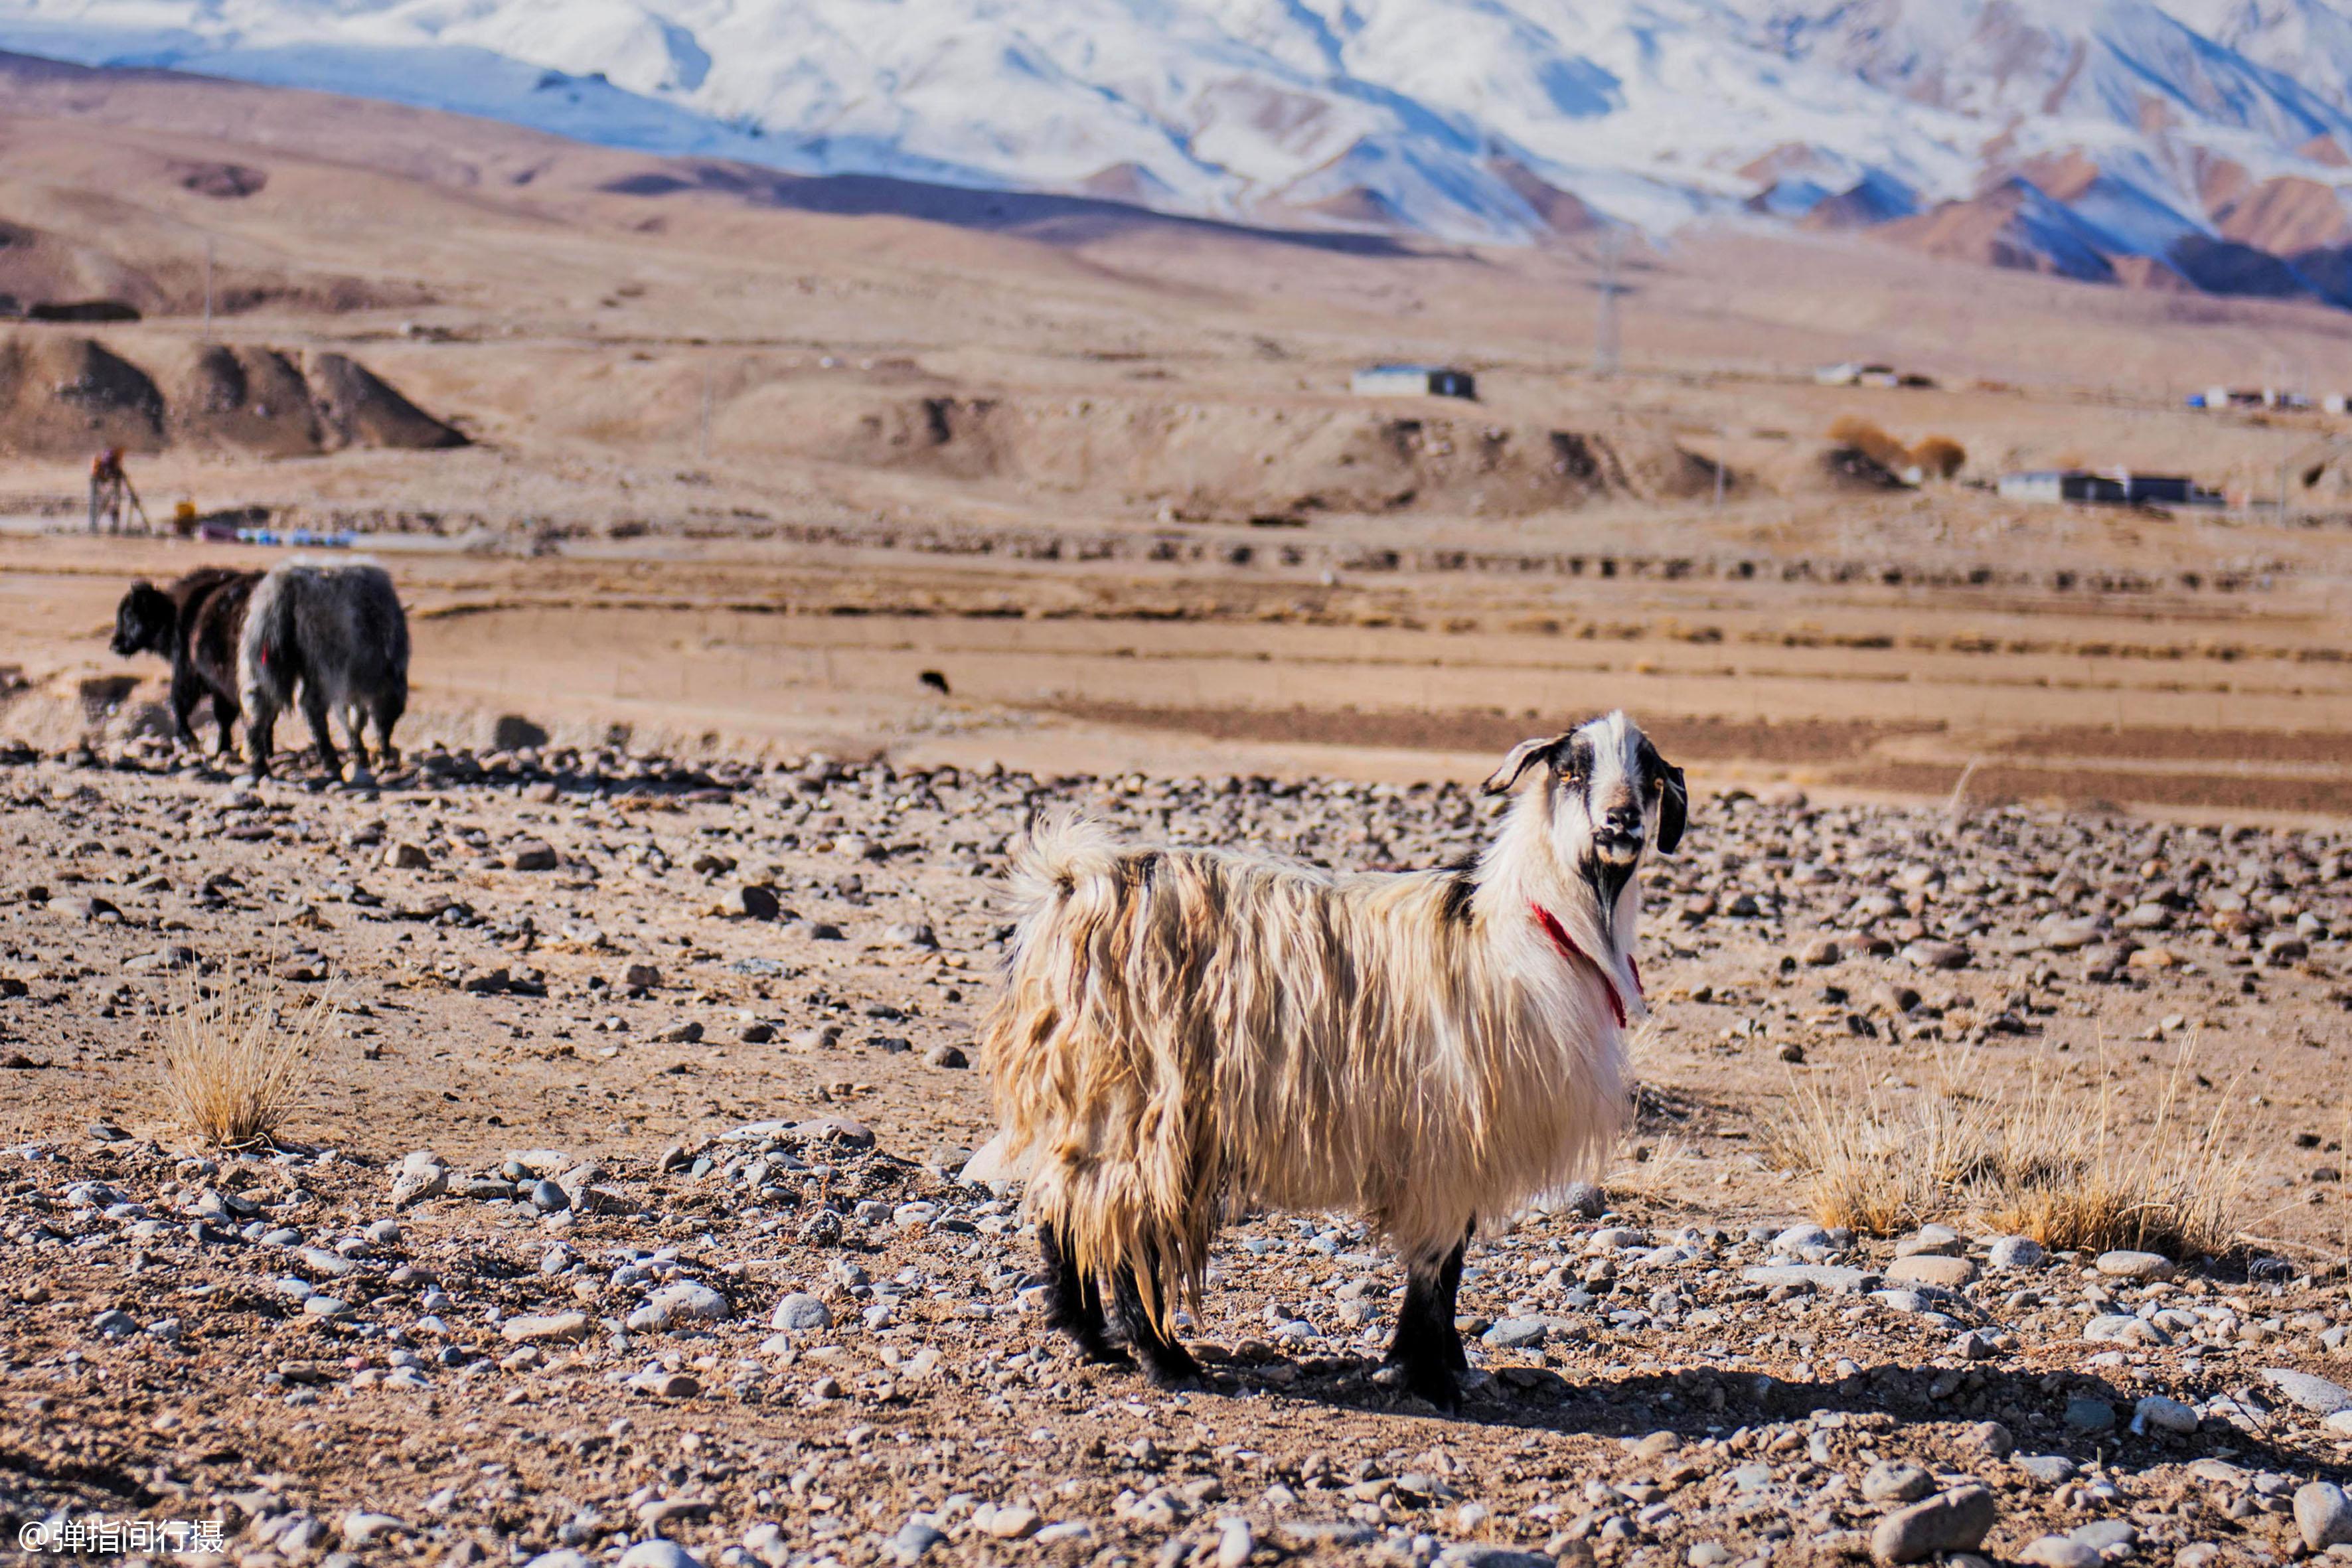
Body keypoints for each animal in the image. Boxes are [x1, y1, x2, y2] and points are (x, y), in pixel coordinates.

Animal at [236, 562, 412, 785]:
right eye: (396, 709)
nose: (387, 753)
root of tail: (288, 583)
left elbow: (352, 714)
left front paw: (359, 751)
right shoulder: (353, 674)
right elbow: (355, 715)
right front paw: (360, 751)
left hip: (262, 655)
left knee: (257, 703)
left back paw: (259, 765)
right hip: (324, 663)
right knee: (312, 706)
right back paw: (330, 760)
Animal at [982, 710, 1684, 1410]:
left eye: (1649, 774)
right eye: (1570, 769)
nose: (1620, 821)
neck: (1521, 925)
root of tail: (1075, 885)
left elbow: (1448, 1263)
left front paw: (1438, 1363)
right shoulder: (1447, 1138)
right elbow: (1436, 1267)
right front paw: (1428, 1378)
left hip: (1091, 1100)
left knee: (1063, 1209)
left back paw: (1093, 1340)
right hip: (1138, 1101)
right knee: (1118, 1230)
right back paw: (1164, 1359)